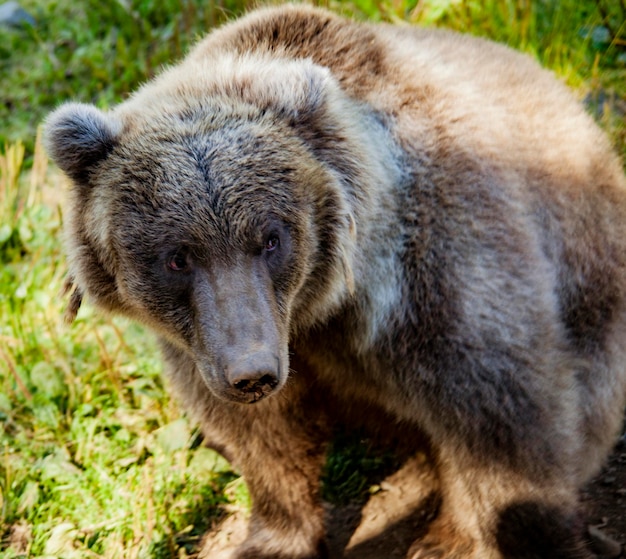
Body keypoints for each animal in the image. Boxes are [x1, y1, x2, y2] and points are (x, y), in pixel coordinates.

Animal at [44, 4, 624, 559]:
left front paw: (522, 534)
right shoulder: (211, 344)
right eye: (178, 258)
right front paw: (273, 539)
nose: (251, 373)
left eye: (270, 238)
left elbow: (503, 418)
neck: (325, 308)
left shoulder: (437, 275)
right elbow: (263, 439)